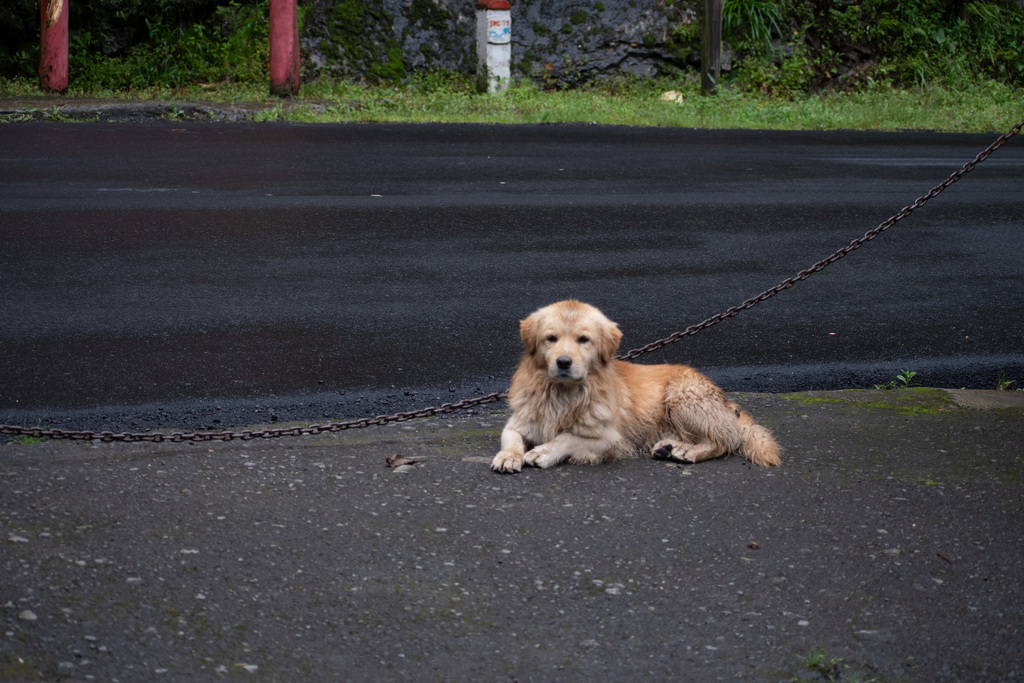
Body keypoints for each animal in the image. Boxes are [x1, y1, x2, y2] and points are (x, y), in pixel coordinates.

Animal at [491, 301, 778, 473]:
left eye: (583, 340)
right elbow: (512, 440)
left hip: (682, 395)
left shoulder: (609, 438)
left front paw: (542, 451)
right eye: (551, 338)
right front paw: (509, 456)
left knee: (724, 440)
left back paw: (688, 451)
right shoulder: (517, 423)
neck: (563, 394)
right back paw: (668, 447)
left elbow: (566, 438)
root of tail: (726, 402)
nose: (563, 362)